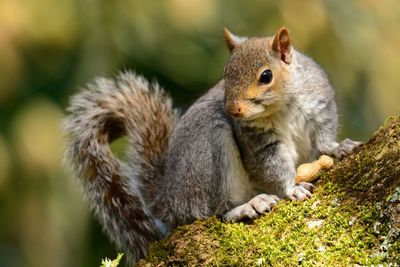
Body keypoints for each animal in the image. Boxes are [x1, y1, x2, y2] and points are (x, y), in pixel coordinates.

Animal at [62, 26, 362, 264]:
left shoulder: (320, 105)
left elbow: (324, 137)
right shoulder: (258, 141)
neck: (283, 105)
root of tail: (169, 198)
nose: (233, 110)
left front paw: (338, 147)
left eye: (266, 76)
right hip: (209, 148)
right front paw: (291, 189)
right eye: (226, 74)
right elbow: (272, 166)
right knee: (213, 211)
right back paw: (247, 207)